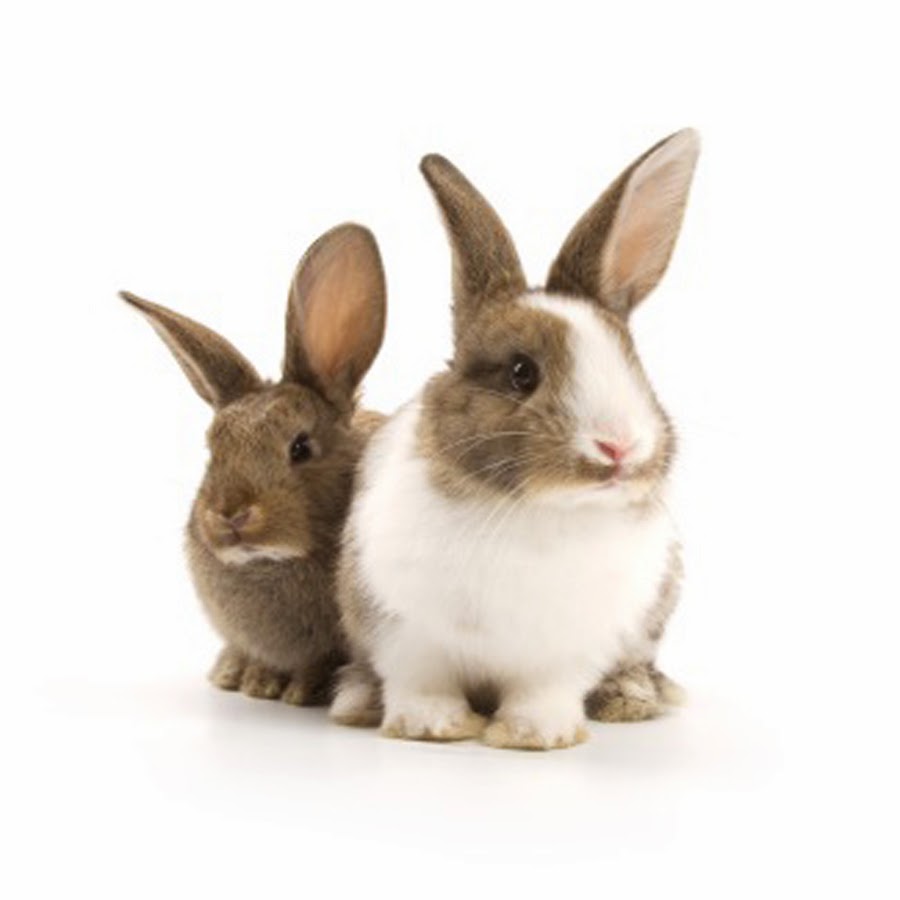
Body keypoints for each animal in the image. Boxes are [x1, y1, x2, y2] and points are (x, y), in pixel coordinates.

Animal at [329, 131, 699, 748]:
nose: (619, 448)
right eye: (521, 372)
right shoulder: (402, 631)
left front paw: (537, 735)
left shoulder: (565, 650)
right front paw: (432, 726)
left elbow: (543, 691)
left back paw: (629, 698)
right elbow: (422, 683)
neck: (540, 511)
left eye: (634, 366)